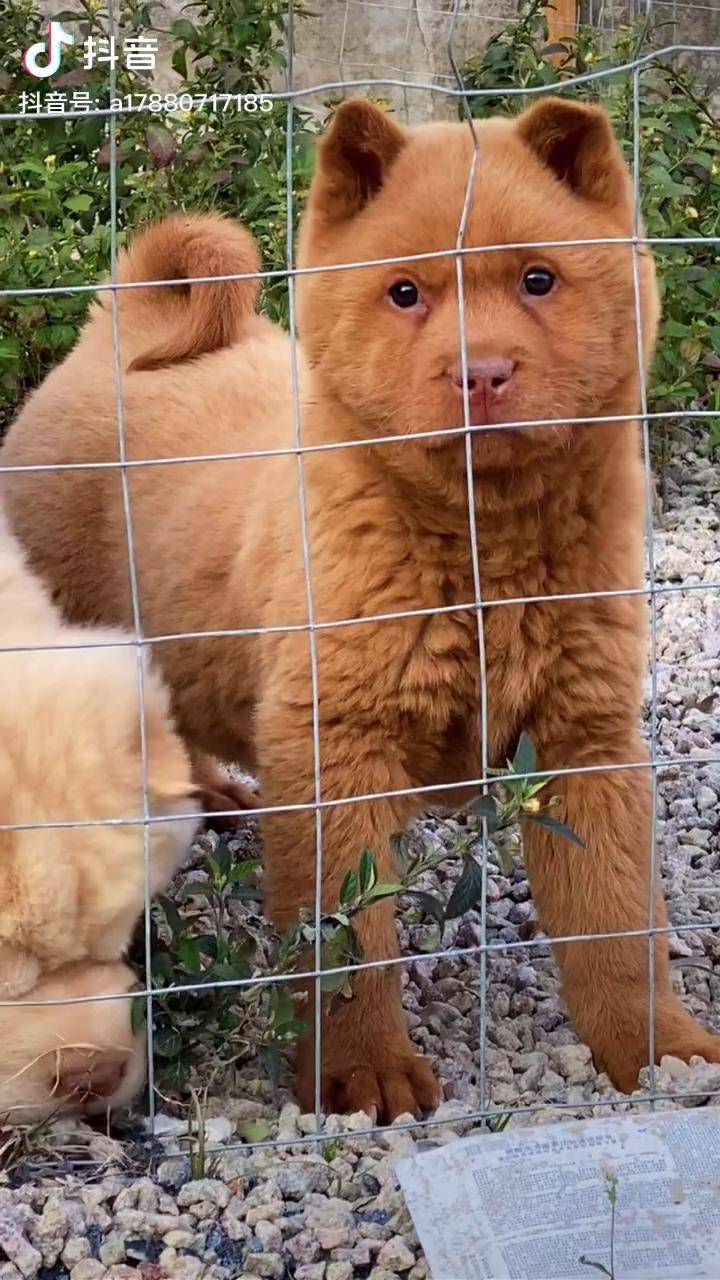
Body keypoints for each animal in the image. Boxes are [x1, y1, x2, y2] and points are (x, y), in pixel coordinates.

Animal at [2, 99, 712, 1121]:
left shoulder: (587, 738)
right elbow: (347, 945)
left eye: (539, 280)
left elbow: (616, 919)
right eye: (406, 294)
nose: (481, 373)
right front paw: (365, 1076)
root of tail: (123, 323)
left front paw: (663, 1053)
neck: (482, 546)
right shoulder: (338, 749)